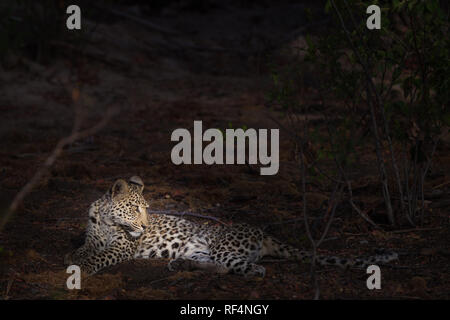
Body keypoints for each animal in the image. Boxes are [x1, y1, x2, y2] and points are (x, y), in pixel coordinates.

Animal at [66, 176, 398, 276]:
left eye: (147, 210)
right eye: (135, 209)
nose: (145, 228)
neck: (106, 220)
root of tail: (263, 231)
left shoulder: (122, 247)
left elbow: (101, 257)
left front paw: (83, 269)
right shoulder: (93, 237)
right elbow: (84, 249)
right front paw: (74, 257)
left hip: (224, 248)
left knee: (252, 268)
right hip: (202, 251)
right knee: (219, 266)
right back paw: (180, 265)